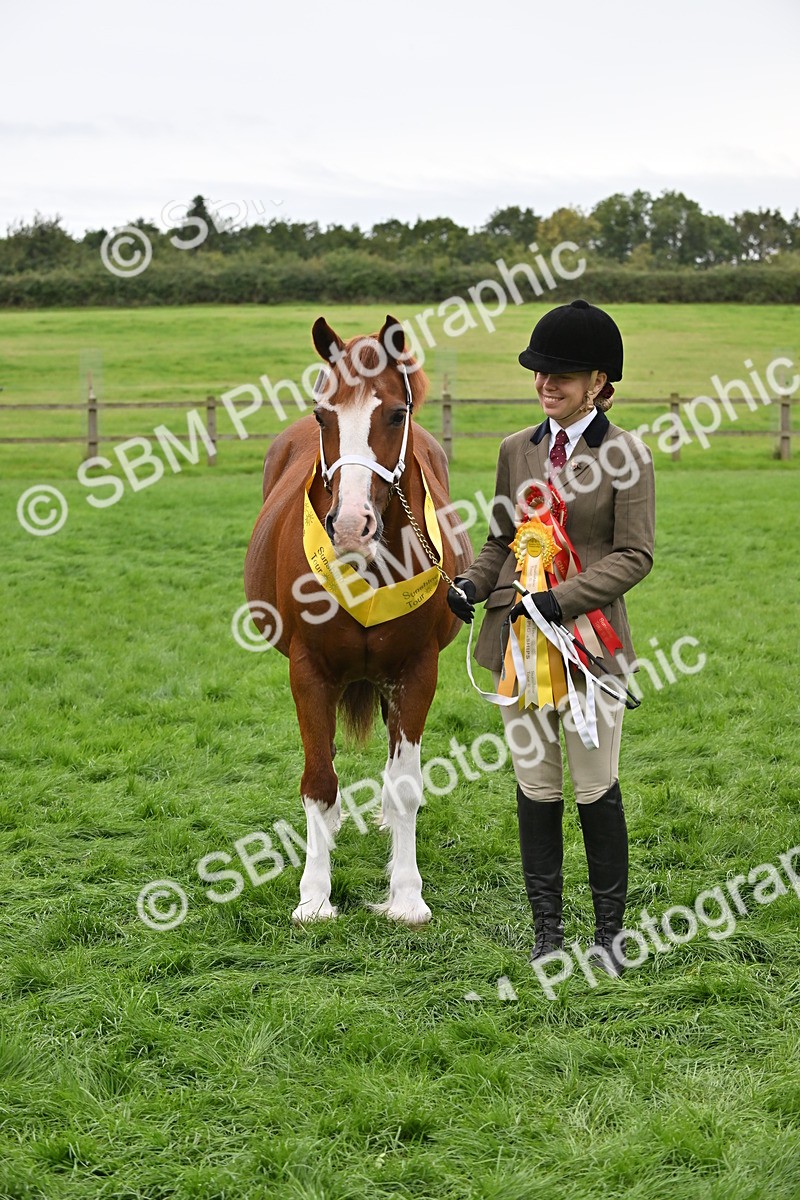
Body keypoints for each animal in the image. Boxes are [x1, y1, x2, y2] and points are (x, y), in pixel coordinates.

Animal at [244, 314, 473, 925]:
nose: (349, 525)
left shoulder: (416, 672)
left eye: (395, 413)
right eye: (324, 414)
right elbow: (319, 781)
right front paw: (314, 895)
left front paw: (406, 895)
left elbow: (406, 786)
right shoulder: (309, 672)